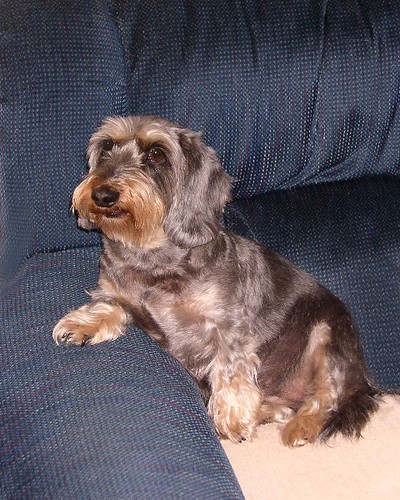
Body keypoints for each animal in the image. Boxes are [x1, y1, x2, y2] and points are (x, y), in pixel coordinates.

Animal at [53, 115, 381, 446]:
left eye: (156, 154)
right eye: (107, 147)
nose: (102, 194)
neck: (152, 259)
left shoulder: (228, 325)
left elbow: (231, 367)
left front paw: (233, 416)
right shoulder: (119, 294)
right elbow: (109, 304)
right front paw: (82, 323)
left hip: (328, 336)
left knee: (327, 395)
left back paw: (302, 425)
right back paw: (269, 410)